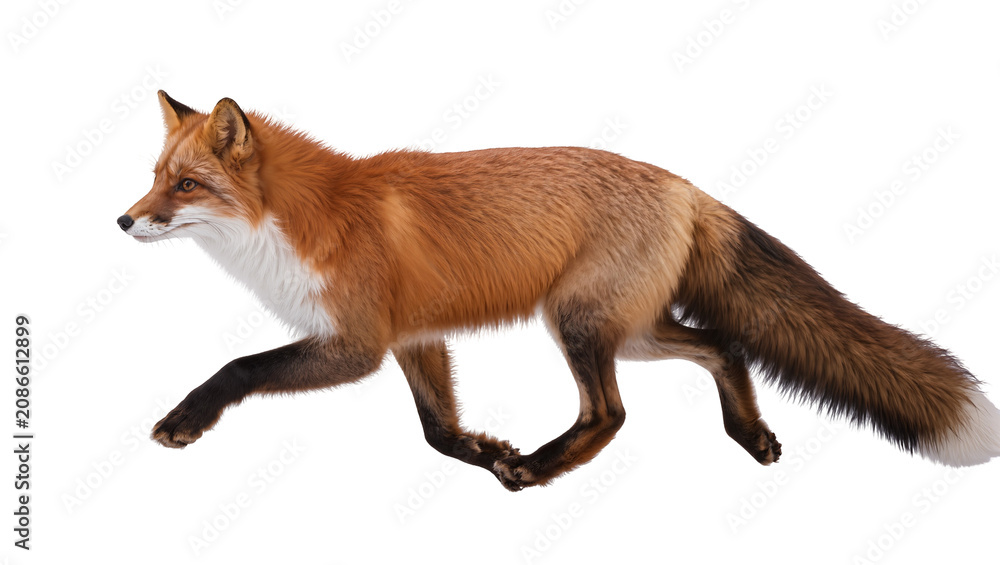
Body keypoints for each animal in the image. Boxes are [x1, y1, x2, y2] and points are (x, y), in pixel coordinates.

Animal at [118, 91, 1000, 491]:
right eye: (154, 176)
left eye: (186, 185)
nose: (123, 220)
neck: (298, 221)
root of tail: (684, 186)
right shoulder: (414, 338)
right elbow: (438, 431)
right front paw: (484, 450)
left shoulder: (359, 342)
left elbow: (239, 367)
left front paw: (184, 419)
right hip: (630, 329)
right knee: (720, 344)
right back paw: (748, 434)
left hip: (576, 322)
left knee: (610, 412)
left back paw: (542, 468)